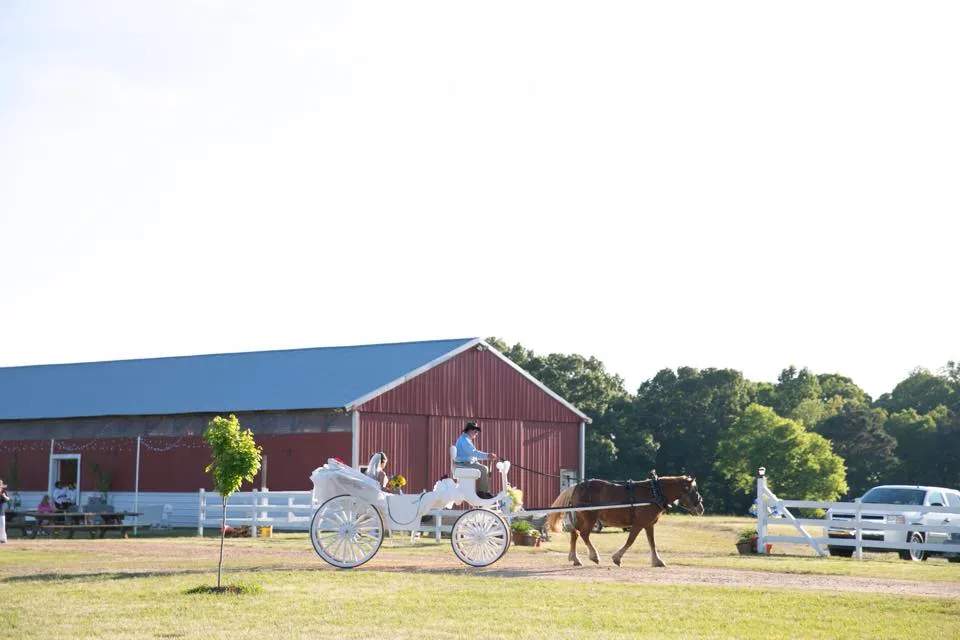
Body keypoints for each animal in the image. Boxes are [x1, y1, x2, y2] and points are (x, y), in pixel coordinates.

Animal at [548, 472, 704, 568]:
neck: (654, 492)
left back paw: (575, 559)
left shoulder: (648, 524)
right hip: (590, 518)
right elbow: (630, 541)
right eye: (694, 490)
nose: (701, 508)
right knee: (584, 534)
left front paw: (657, 561)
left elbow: (652, 543)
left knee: (574, 533)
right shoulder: (639, 523)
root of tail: (576, 487)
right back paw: (594, 556)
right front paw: (617, 558)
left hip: (582, 518)